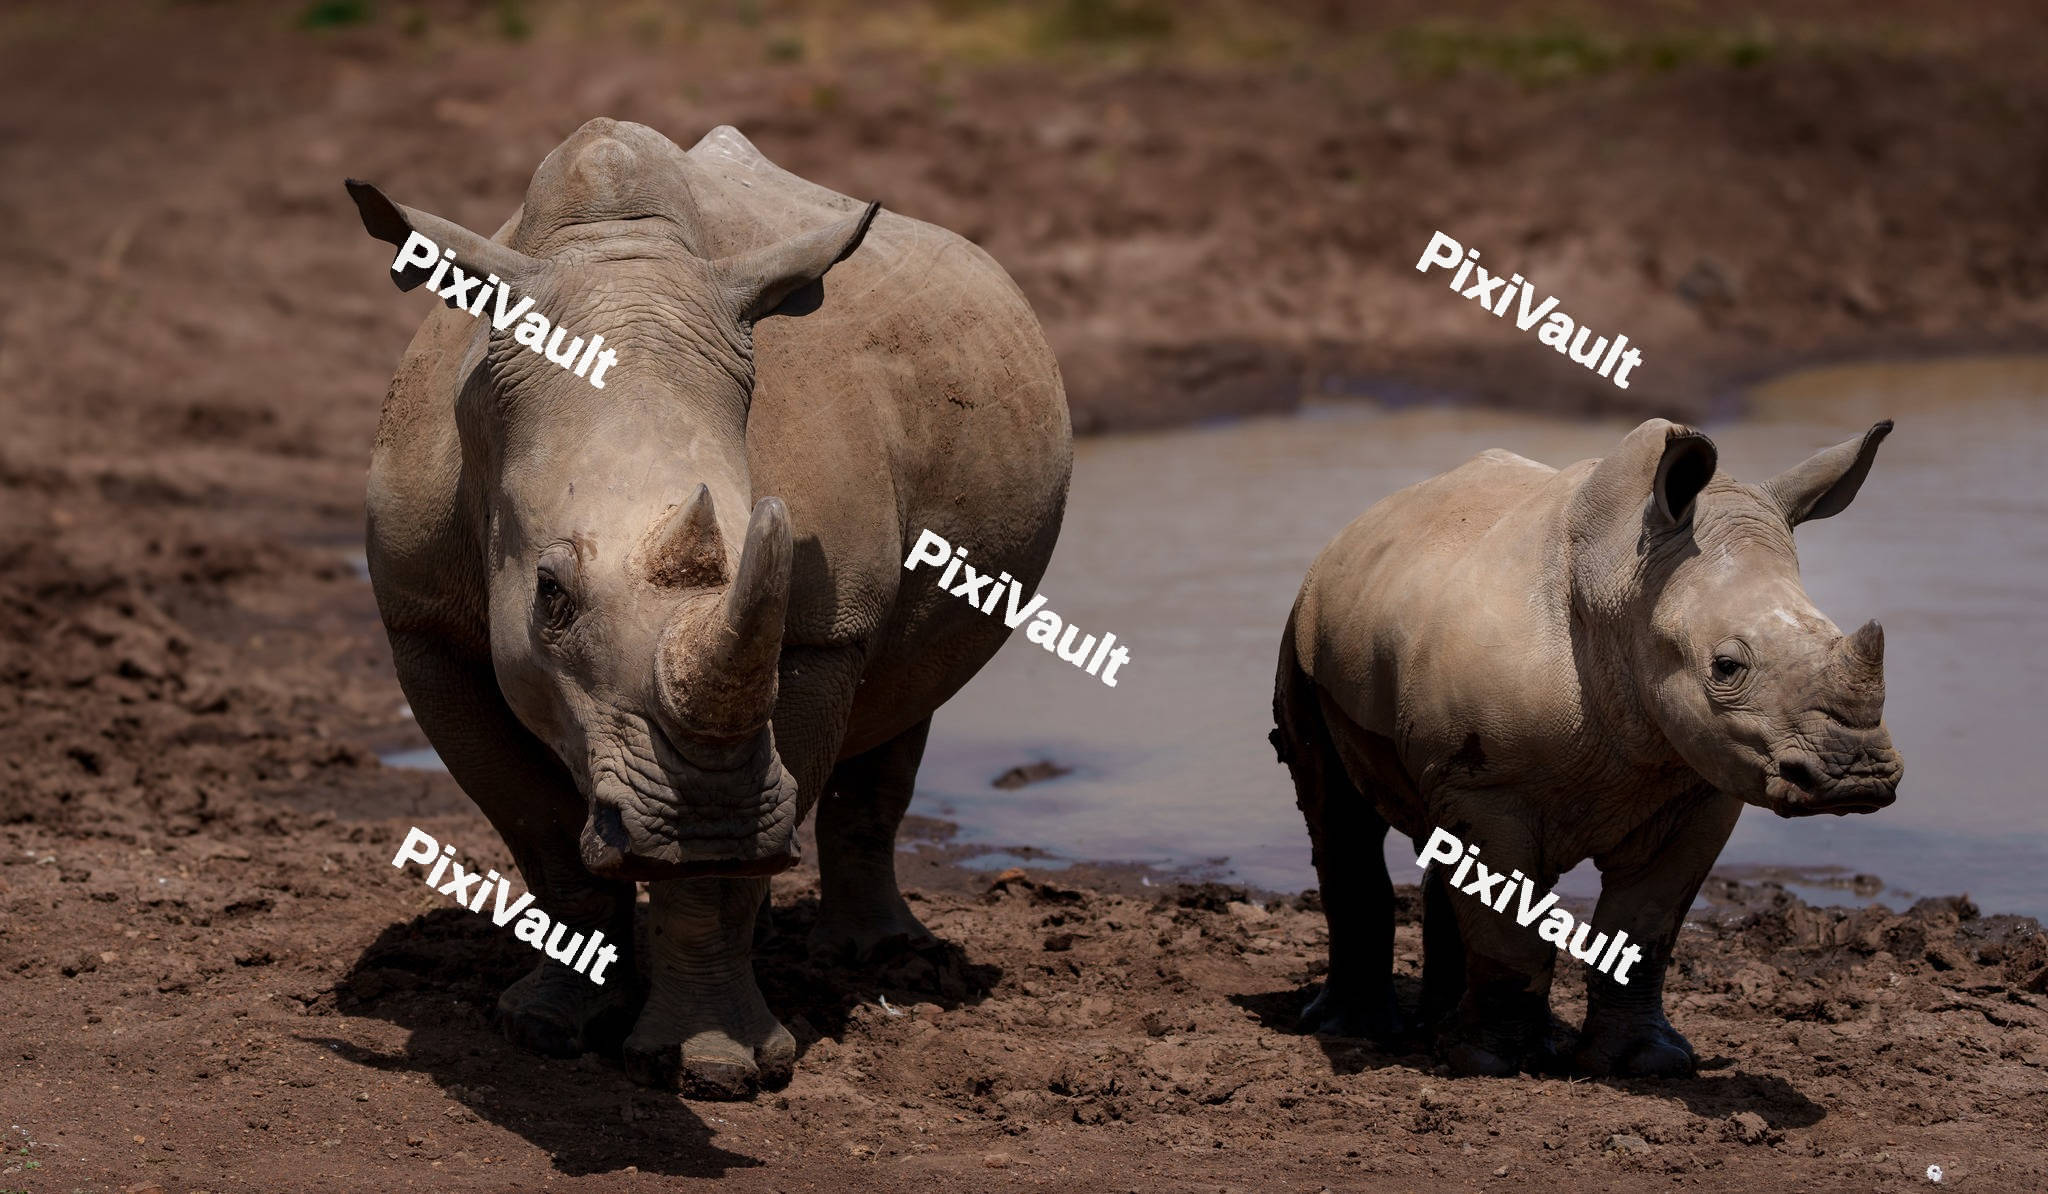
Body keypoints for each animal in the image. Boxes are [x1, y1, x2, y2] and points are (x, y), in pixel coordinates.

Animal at [347, 119, 1071, 1096]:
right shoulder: (422, 625)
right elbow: (541, 833)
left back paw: (881, 960)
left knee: (903, 698)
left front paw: (713, 1066)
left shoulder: (819, 633)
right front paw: (544, 1025)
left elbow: (715, 873)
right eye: (549, 596)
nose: (714, 821)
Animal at [1272, 418, 1900, 1077]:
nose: (1858, 777)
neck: (1629, 589)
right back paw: (1360, 1030)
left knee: (1437, 836)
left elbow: (1647, 926)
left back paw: (1439, 1027)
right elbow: (1506, 927)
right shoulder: (1490, 784)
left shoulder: (1703, 790)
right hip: (1305, 627)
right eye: (1726, 667)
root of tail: (1357, 526)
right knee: (1338, 817)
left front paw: (1646, 1061)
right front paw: (1492, 1063)